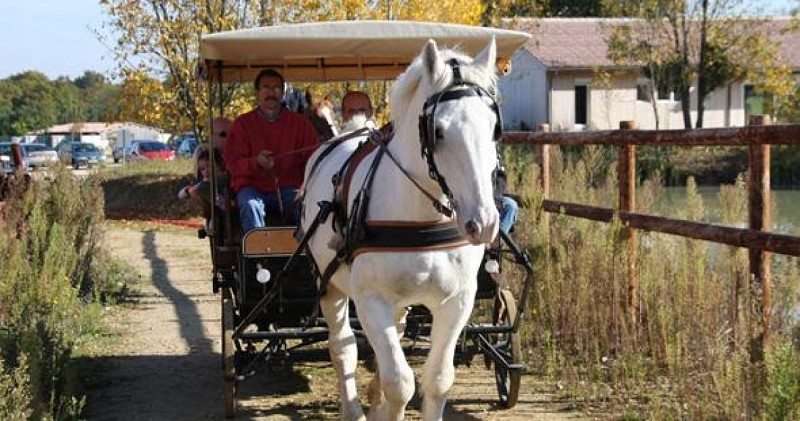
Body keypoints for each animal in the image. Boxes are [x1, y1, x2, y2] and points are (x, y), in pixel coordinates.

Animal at [302, 37, 500, 418]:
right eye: (437, 131)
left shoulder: (457, 301)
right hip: (329, 283)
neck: (420, 217)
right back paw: (353, 409)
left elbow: (438, 380)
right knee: (344, 345)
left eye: (494, 127)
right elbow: (400, 382)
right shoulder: (370, 300)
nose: (482, 222)